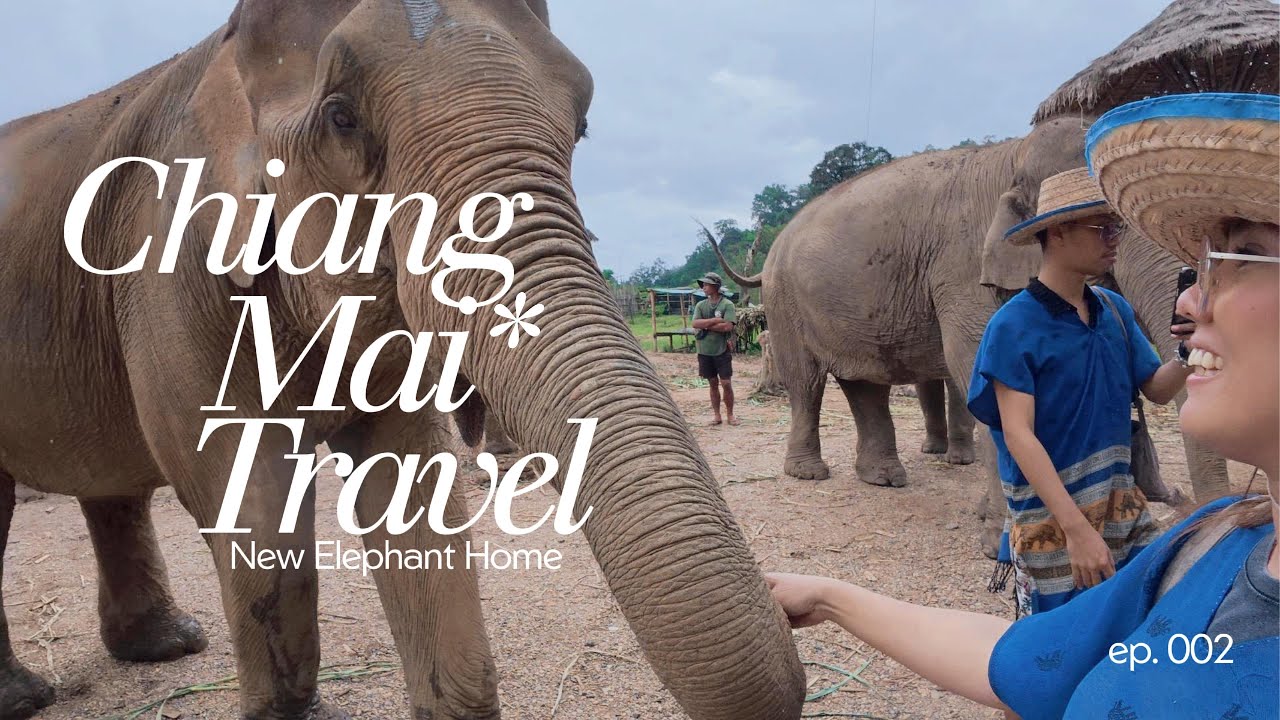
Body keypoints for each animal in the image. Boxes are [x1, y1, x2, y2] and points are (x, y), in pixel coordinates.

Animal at [0, 1, 805, 719]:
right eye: (341, 117)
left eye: (580, 124)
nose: (786, 601)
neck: (223, 54)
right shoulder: (167, 260)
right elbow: (248, 498)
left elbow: (413, 483)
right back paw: (33, 694)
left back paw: (167, 647)